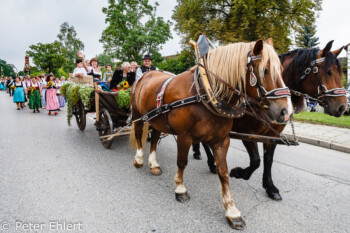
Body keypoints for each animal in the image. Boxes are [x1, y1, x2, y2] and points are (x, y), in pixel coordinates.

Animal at [129, 39, 292, 228]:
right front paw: (180, 189)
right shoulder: (184, 137)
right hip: (138, 115)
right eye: (265, 70)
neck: (205, 92)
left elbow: (223, 171)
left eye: (281, 70)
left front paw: (231, 210)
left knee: (154, 137)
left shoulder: (221, 140)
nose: (286, 111)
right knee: (139, 132)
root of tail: (146, 74)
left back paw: (153, 164)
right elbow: (182, 163)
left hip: (157, 120)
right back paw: (139, 158)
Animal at [194, 40, 348, 200]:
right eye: (329, 72)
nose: (343, 107)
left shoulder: (272, 135)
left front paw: (270, 187)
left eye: (340, 73)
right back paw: (209, 161)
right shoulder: (248, 133)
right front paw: (239, 172)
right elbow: (256, 161)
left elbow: (268, 160)